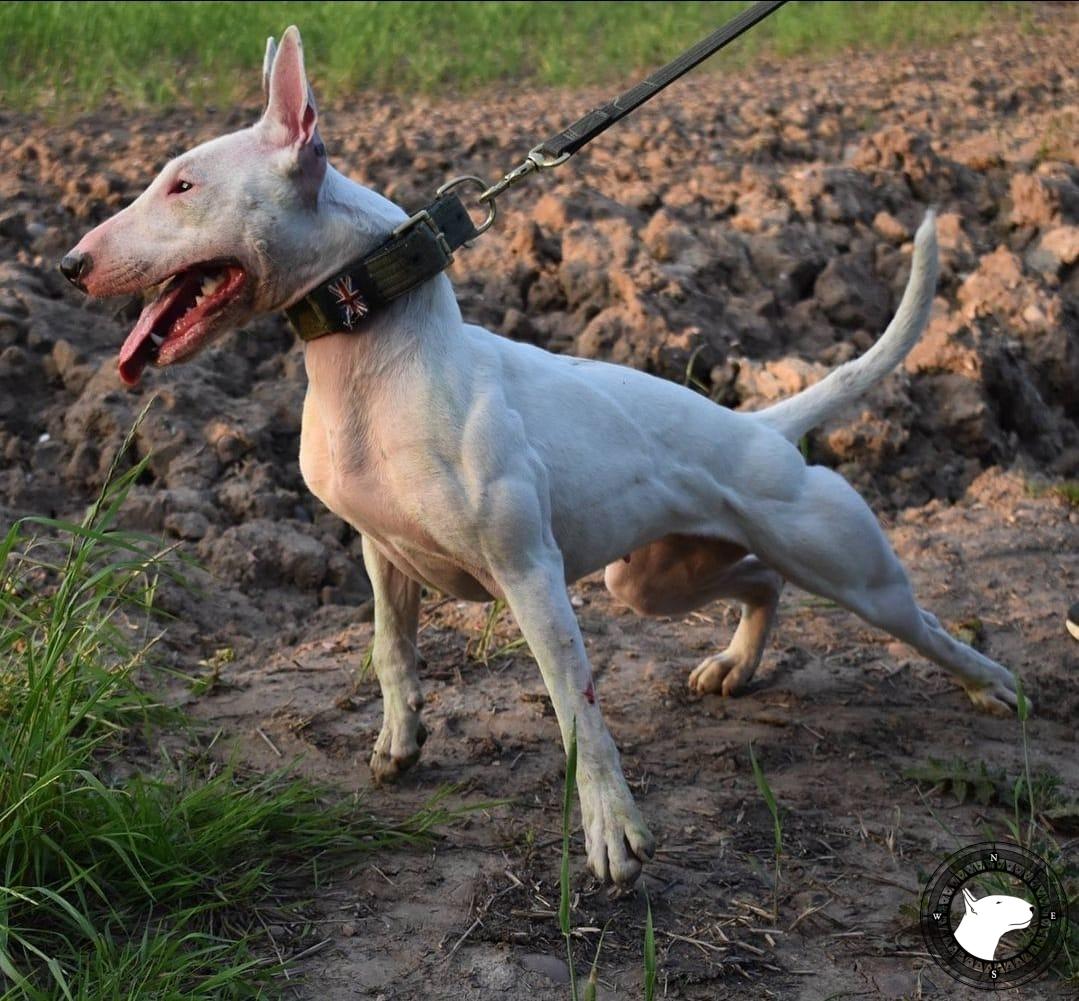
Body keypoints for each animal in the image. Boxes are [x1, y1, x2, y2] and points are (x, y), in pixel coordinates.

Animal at [63, 25, 1022, 884]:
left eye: (183, 184)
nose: (70, 264)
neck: (370, 348)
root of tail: (762, 423)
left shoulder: (529, 573)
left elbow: (575, 707)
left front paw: (611, 830)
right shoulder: (381, 553)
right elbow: (390, 653)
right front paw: (399, 743)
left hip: (848, 569)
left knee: (920, 622)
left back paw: (993, 686)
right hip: (650, 578)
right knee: (762, 582)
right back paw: (734, 664)